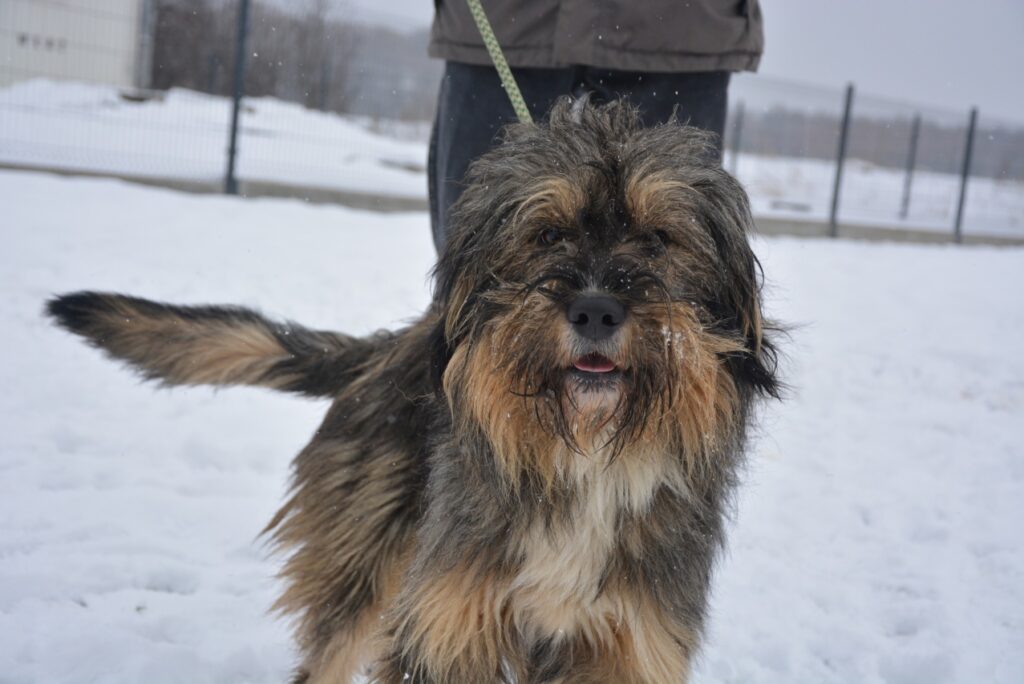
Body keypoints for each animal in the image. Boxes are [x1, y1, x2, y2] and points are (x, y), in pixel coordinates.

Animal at [46, 98, 774, 679]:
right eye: (547, 234)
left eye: (659, 239)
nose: (595, 311)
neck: (586, 458)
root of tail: (395, 345)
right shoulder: (447, 626)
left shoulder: (629, 642)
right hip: (367, 561)